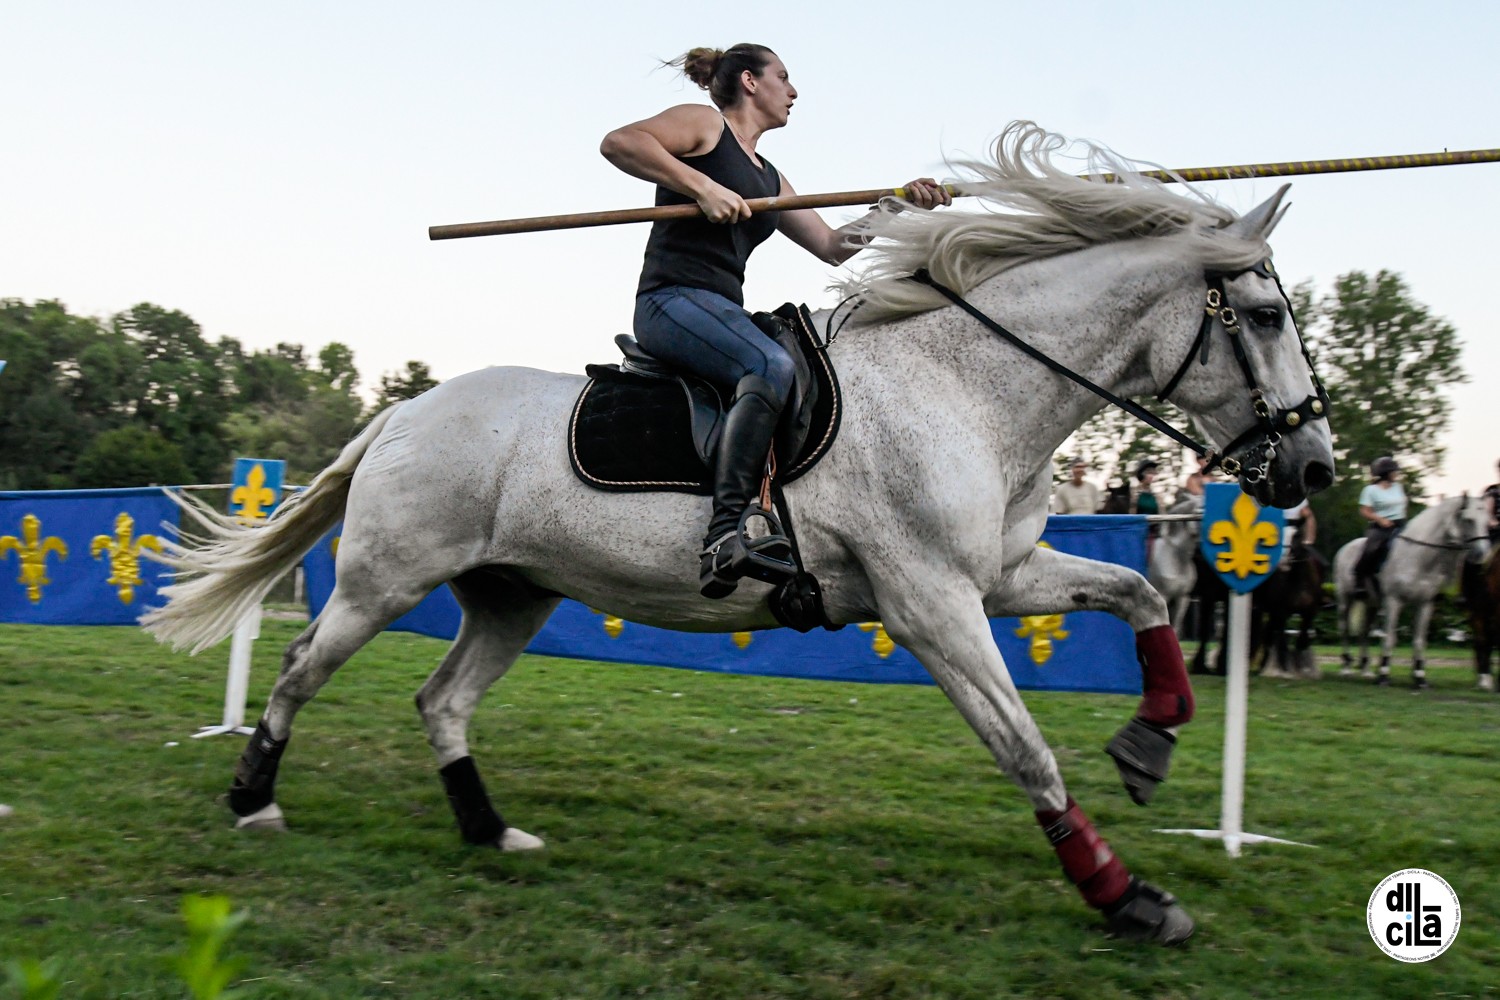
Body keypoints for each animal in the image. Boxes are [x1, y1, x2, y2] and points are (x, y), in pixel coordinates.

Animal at [143, 125, 1338, 947]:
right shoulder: (929, 601)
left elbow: (1140, 597)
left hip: (514, 592)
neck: (968, 382)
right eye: (1264, 316)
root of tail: (401, 411)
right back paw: (252, 797)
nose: (1315, 470)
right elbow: (1023, 746)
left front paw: (1151, 742)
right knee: (301, 666)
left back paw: (490, 830)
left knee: (442, 700)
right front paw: (1127, 894)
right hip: (384, 580)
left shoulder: (1000, 573)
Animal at [1338, 494, 1488, 689]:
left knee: (1364, 632)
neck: (1418, 556)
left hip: (1372, 604)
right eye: (1468, 520)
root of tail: (1344, 548)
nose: (1481, 555)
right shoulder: (1393, 601)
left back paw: (1366, 671)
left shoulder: (1425, 604)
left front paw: (1419, 677)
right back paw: (1346, 668)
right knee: (1345, 630)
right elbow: (1389, 638)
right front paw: (1384, 675)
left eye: (1487, 521)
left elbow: (1419, 640)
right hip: (1345, 601)